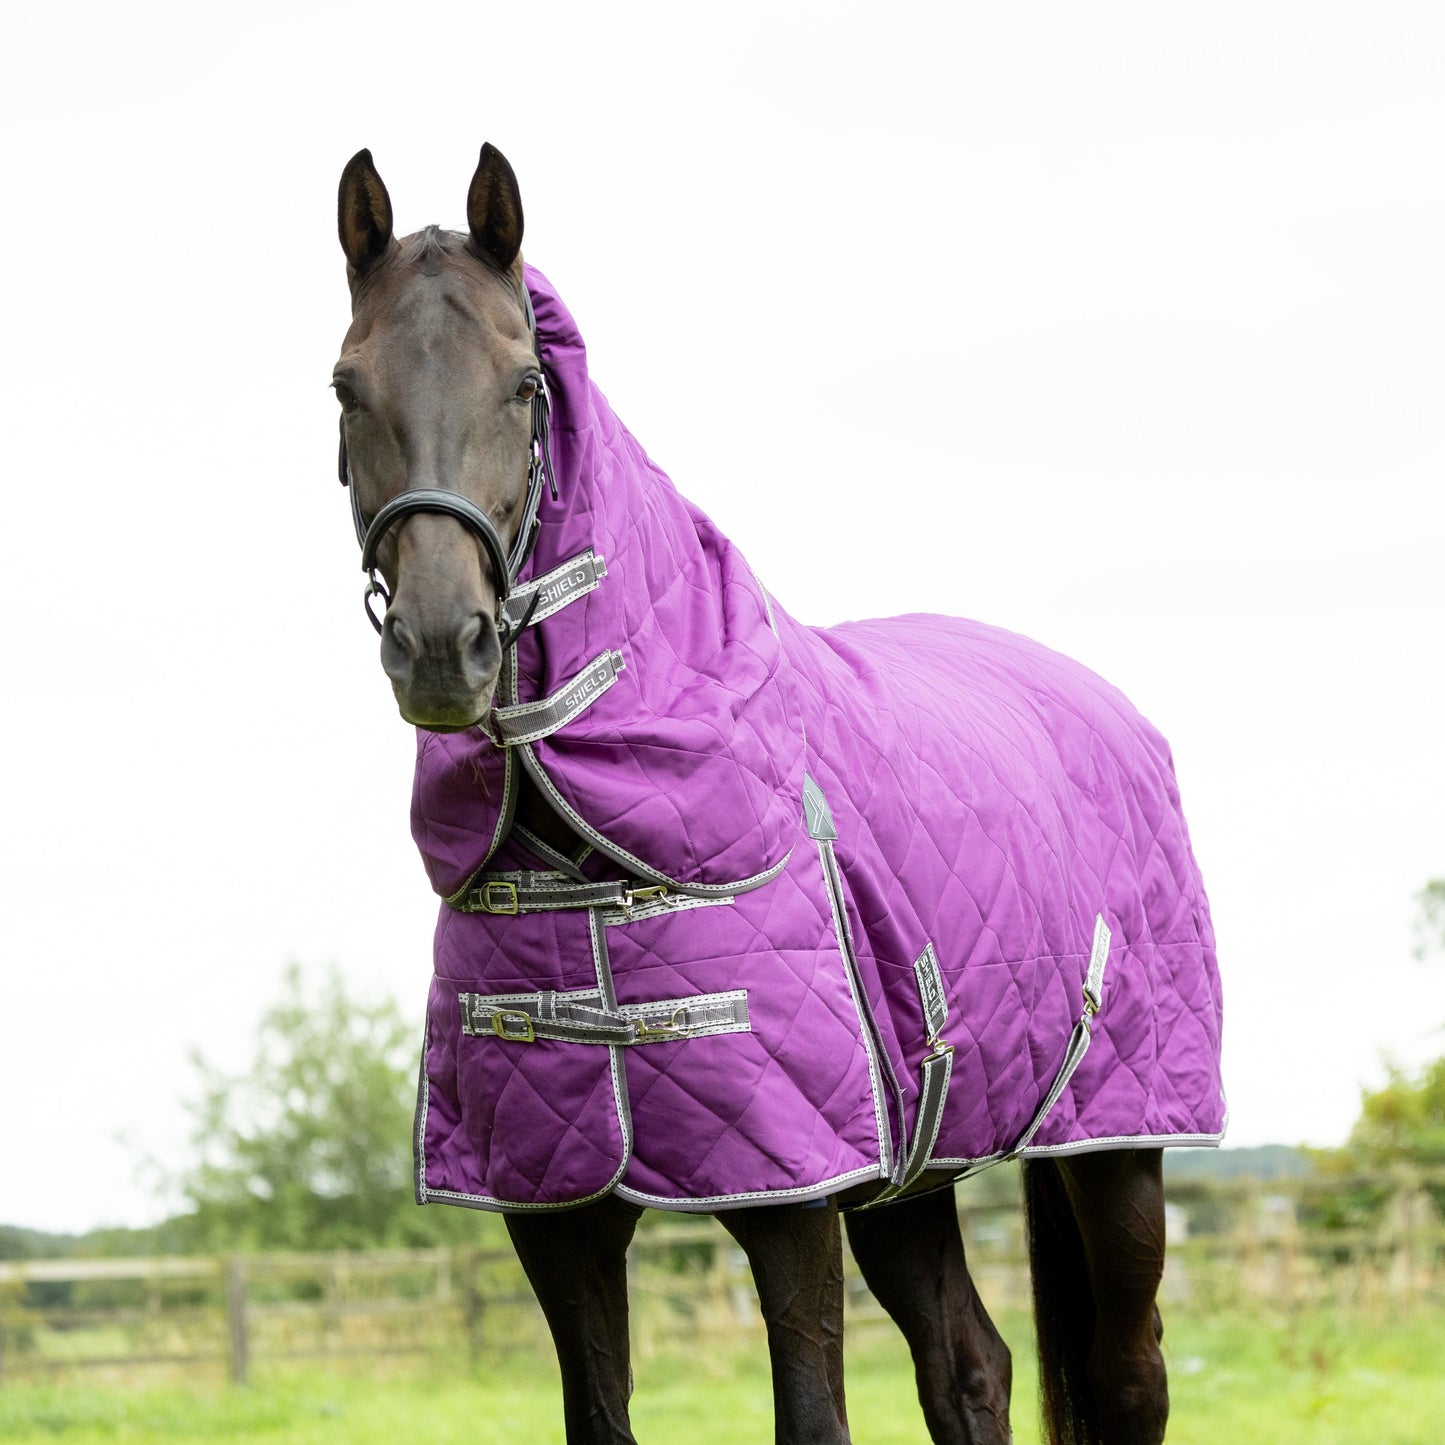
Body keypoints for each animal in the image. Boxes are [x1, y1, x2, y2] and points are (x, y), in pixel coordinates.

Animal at [330, 143, 1224, 1445]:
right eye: (347, 385)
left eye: (522, 383)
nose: (446, 647)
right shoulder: (561, 1214)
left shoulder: (789, 1197)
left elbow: (812, 1415)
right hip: (909, 1173)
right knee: (969, 1365)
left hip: (1116, 1149)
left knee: (1124, 1377)